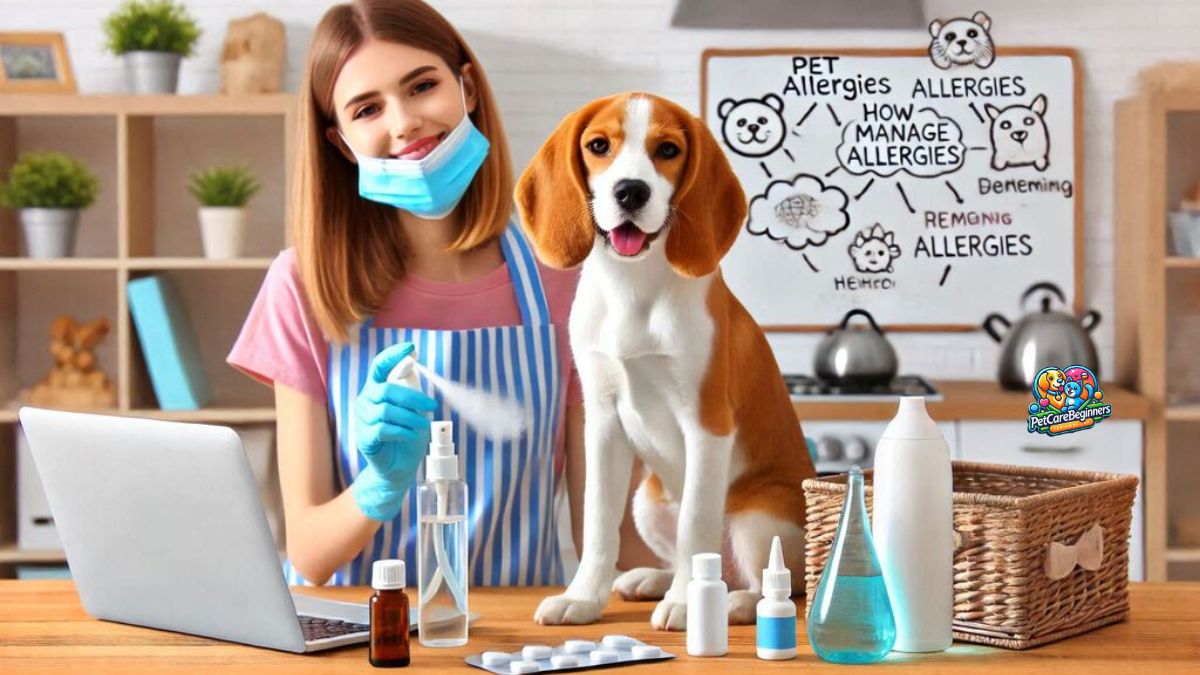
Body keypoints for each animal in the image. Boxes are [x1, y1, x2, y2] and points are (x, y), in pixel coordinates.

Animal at [516, 91, 816, 629]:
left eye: (668, 150)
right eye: (599, 145)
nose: (631, 192)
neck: (633, 290)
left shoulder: (708, 425)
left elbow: (696, 523)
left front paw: (685, 603)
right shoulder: (603, 422)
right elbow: (598, 523)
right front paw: (583, 597)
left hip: (757, 519)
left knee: (782, 586)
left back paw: (732, 601)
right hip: (647, 500)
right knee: (687, 556)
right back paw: (654, 580)